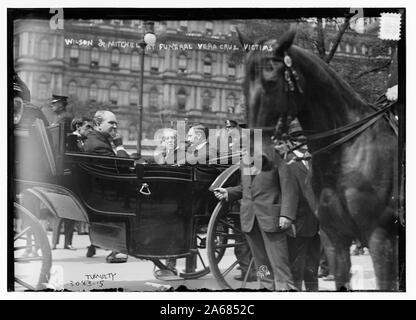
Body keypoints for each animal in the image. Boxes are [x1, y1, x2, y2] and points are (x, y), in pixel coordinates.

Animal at [240, 28, 400, 292]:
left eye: (272, 83)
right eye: (243, 84)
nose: (256, 158)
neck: (345, 153)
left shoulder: (382, 237)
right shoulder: (334, 239)